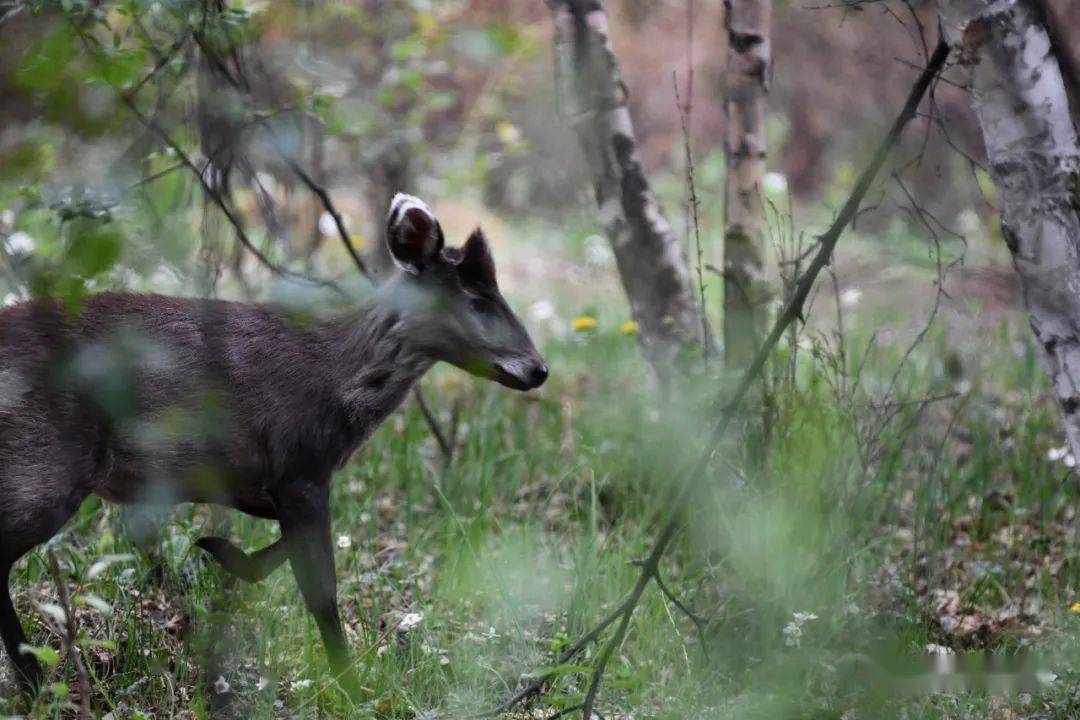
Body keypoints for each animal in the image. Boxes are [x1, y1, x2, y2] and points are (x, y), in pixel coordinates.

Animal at [0, 194, 540, 699]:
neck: (337, 380)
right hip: (45, 461)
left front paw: (221, 553)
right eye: (476, 299)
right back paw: (35, 684)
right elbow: (321, 589)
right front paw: (350, 688)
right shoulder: (301, 466)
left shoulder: (280, 482)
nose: (539, 368)